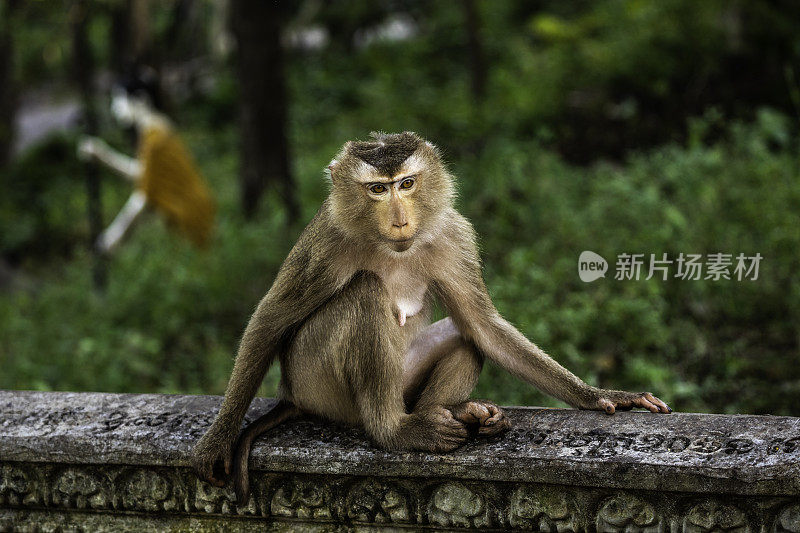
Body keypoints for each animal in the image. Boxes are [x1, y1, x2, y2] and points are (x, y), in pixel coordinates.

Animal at [192, 131, 668, 500]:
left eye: (406, 183)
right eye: (377, 189)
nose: (400, 220)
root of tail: (292, 395)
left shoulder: (454, 236)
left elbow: (483, 327)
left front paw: (600, 396)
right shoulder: (325, 241)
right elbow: (271, 319)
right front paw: (218, 439)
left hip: (401, 382)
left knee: (464, 338)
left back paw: (456, 413)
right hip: (318, 385)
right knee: (364, 292)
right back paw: (395, 430)